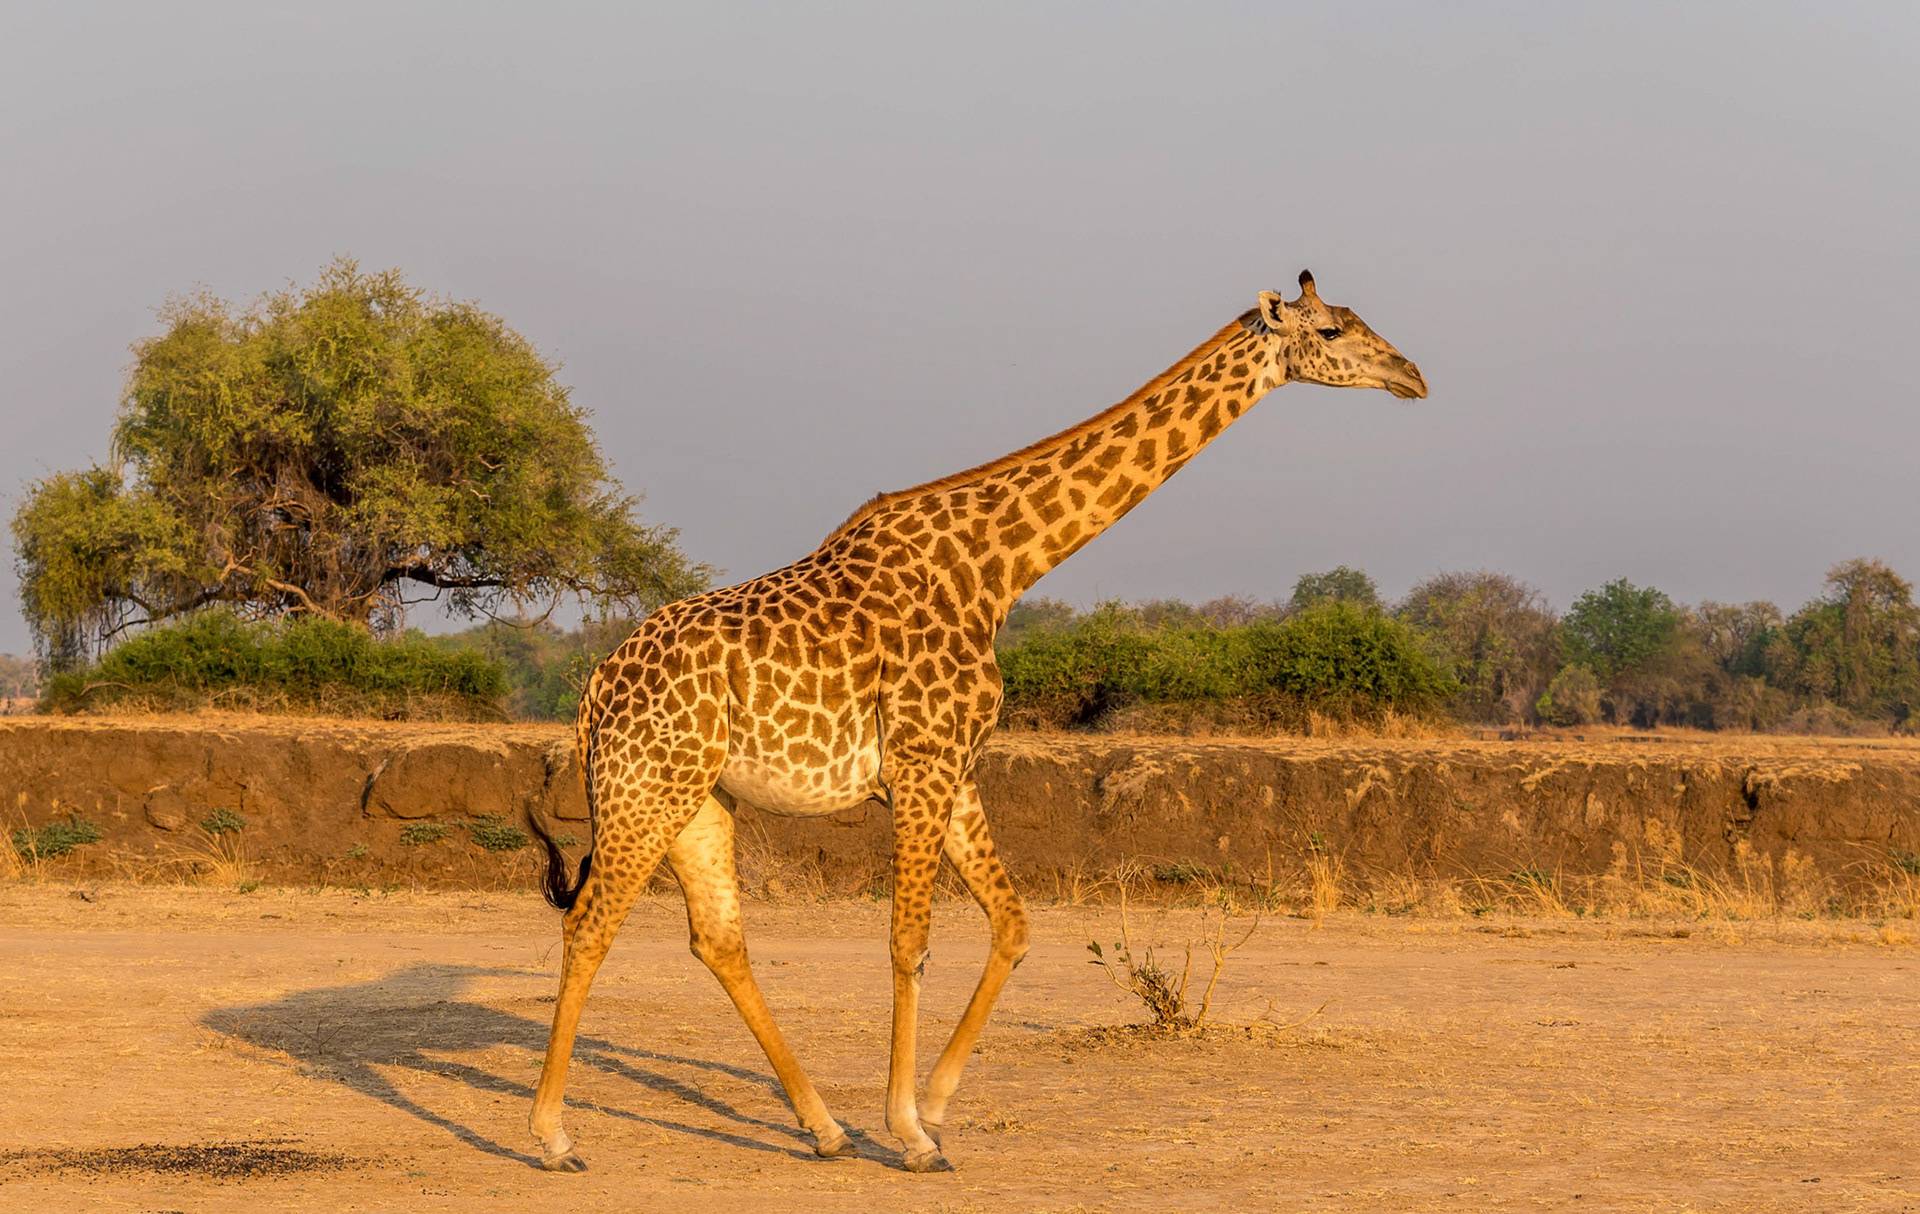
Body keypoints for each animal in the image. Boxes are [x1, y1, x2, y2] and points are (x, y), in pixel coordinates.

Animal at [526, 270, 1427, 1174]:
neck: (997, 571)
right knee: (591, 926)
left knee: (717, 940)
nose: (1413, 376)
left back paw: (824, 1128)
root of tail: (595, 689)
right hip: (648, 786)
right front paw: (910, 1131)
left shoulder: (954, 770)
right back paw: (554, 1135)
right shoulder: (922, 764)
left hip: (700, 798)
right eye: (1334, 329)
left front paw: (934, 1105)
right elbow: (909, 943)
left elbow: (1015, 925)